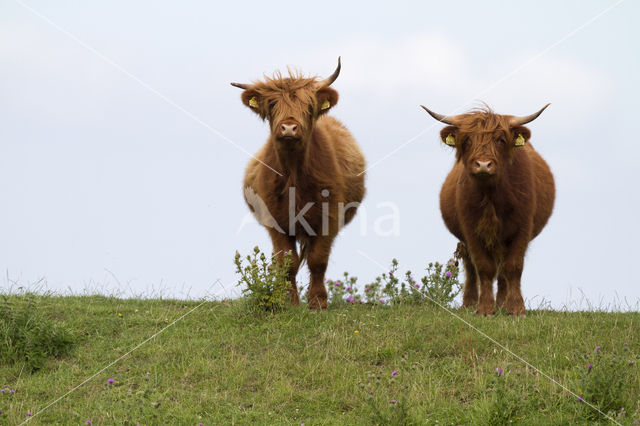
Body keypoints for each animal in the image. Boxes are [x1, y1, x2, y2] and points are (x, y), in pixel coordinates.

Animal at [232, 58, 368, 310]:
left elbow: (317, 260)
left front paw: (318, 302)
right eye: (272, 104)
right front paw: (289, 300)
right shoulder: (275, 221)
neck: (294, 174)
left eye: (309, 105)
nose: (288, 127)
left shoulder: (329, 217)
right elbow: (288, 262)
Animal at [420, 103, 556, 316]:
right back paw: (470, 303)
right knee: (471, 265)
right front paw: (484, 308)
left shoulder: (522, 228)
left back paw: (501, 305)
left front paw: (517, 309)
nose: (483, 164)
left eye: (501, 140)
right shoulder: (471, 230)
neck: (491, 197)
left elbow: (513, 266)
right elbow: (483, 267)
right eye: (467, 139)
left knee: (502, 271)